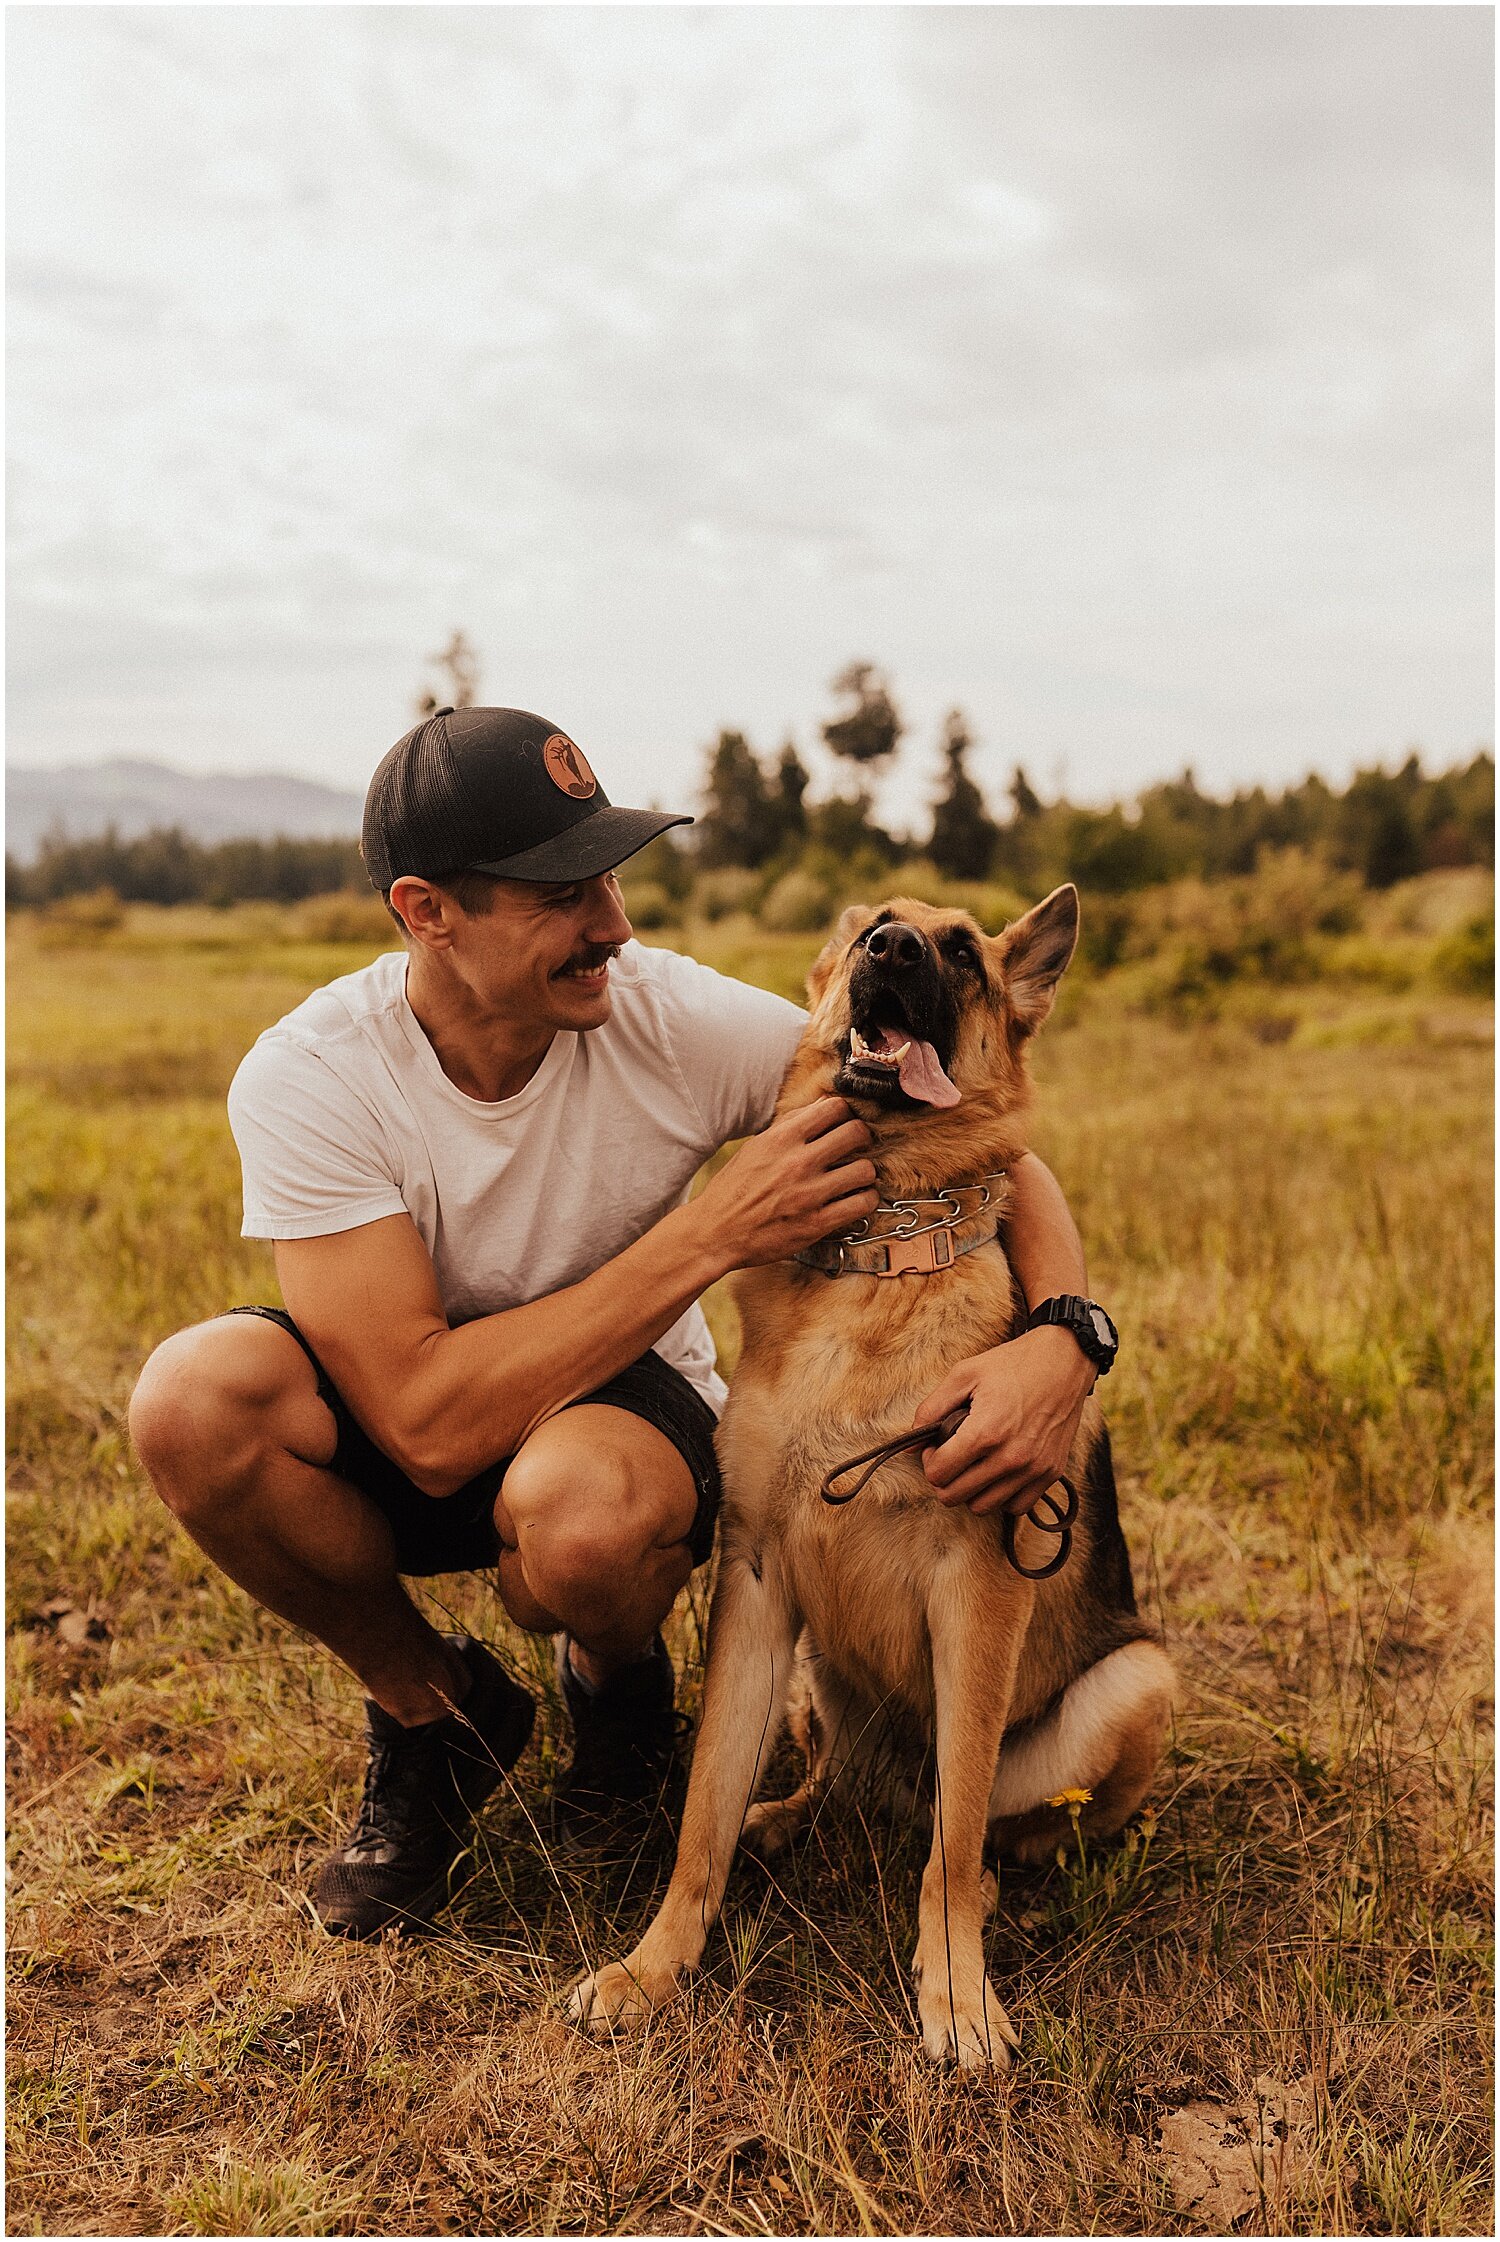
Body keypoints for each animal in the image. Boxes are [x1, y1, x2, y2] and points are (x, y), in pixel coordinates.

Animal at [569, 887, 1165, 2062]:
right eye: (877, 926)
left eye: (963, 954)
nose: (890, 950)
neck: (877, 1246)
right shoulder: (755, 1580)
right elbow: (703, 1807)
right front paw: (656, 1967)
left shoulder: (978, 1591)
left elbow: (953, 1845)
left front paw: (959, 1996)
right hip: (818, 1680)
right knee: (832, 1782)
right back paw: (789, 1817)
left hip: (1137, 1680)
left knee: (982, 1826)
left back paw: (1001, 1879)